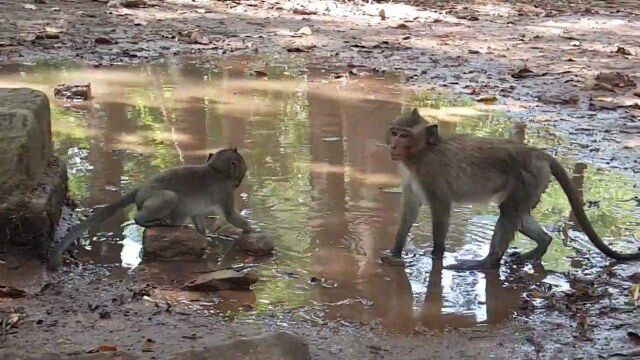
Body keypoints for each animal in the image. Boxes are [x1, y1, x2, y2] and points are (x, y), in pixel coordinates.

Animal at [48, 148, 252, 268]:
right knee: (168, 199)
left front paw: (205, 236)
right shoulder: (226, 190)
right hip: (156, 199)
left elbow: (198, 217)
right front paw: (249, 229)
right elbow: (230, 215)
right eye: (243, 168)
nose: (241, 179)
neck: (217, 171)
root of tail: (141, 189)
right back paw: (157, 222)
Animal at [382, 109, 636, 270]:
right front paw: (395, 251)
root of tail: (538, 153)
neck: (421, 153)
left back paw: (487, 262)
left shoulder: (430, 172)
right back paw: (542, 244)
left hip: (529, 178)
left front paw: (436, 255)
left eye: (404, 135)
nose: (393, 146)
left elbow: (441, 206)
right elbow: (411, 207)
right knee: (516, 215)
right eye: (395, 132)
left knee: (509, 213)